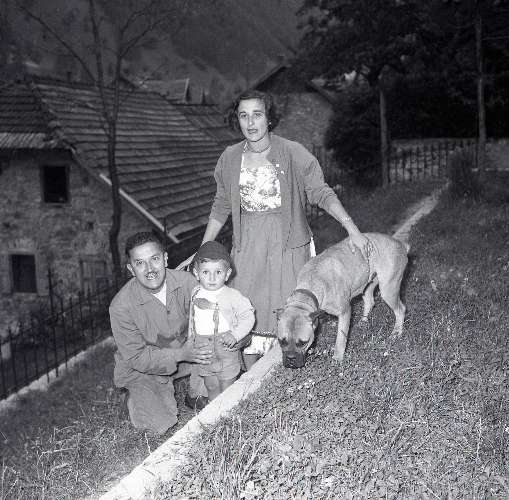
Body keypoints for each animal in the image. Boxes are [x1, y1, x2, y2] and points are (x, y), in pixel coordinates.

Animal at [277, 233, 409, 368]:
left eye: (303, 342)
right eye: (281, 341)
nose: (290, 359)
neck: (312, 283)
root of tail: (400, 243)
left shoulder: (344, 312)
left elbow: (340, 338)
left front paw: (337, 357)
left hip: (388, 289)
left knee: (400, 309)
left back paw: (396, 332)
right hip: (368, 284)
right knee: (370, 301)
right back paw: (363, 321)